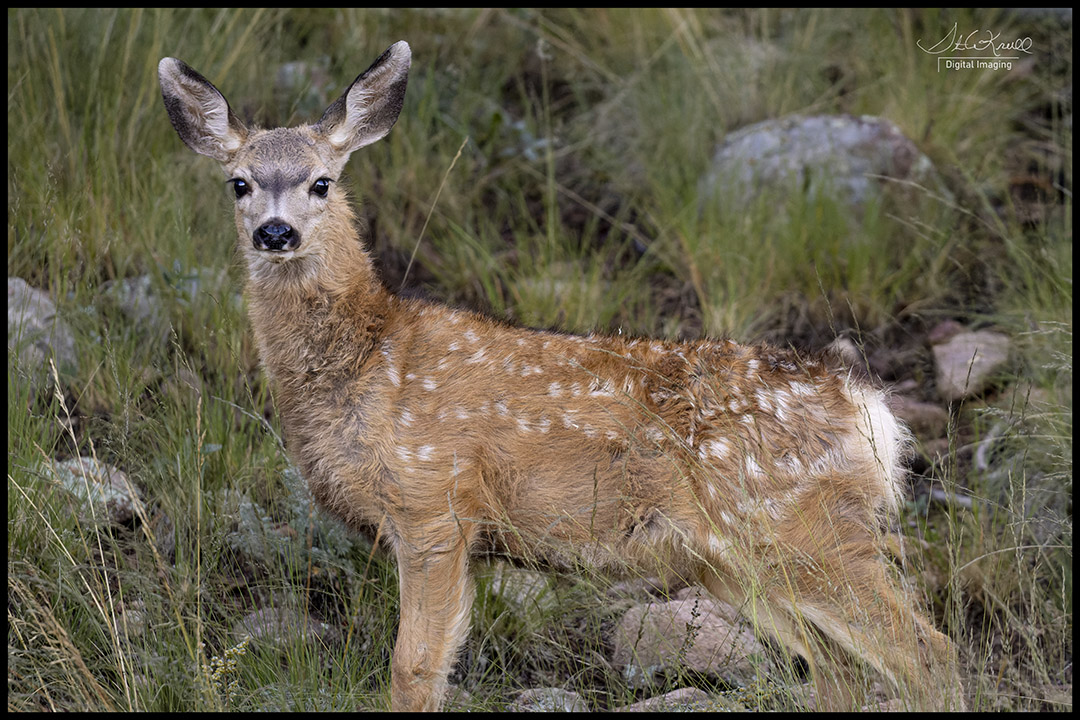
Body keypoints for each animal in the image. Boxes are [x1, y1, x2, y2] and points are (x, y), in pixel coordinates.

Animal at [158, 41, 965, 711]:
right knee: (841, 670)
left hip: (799, 524)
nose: (276, 232)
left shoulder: (433, 504)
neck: (370, 361)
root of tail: (866, 407)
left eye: (322, 182)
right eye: (238, 183)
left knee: (928, 653)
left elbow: (414, 670)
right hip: (737, 561)